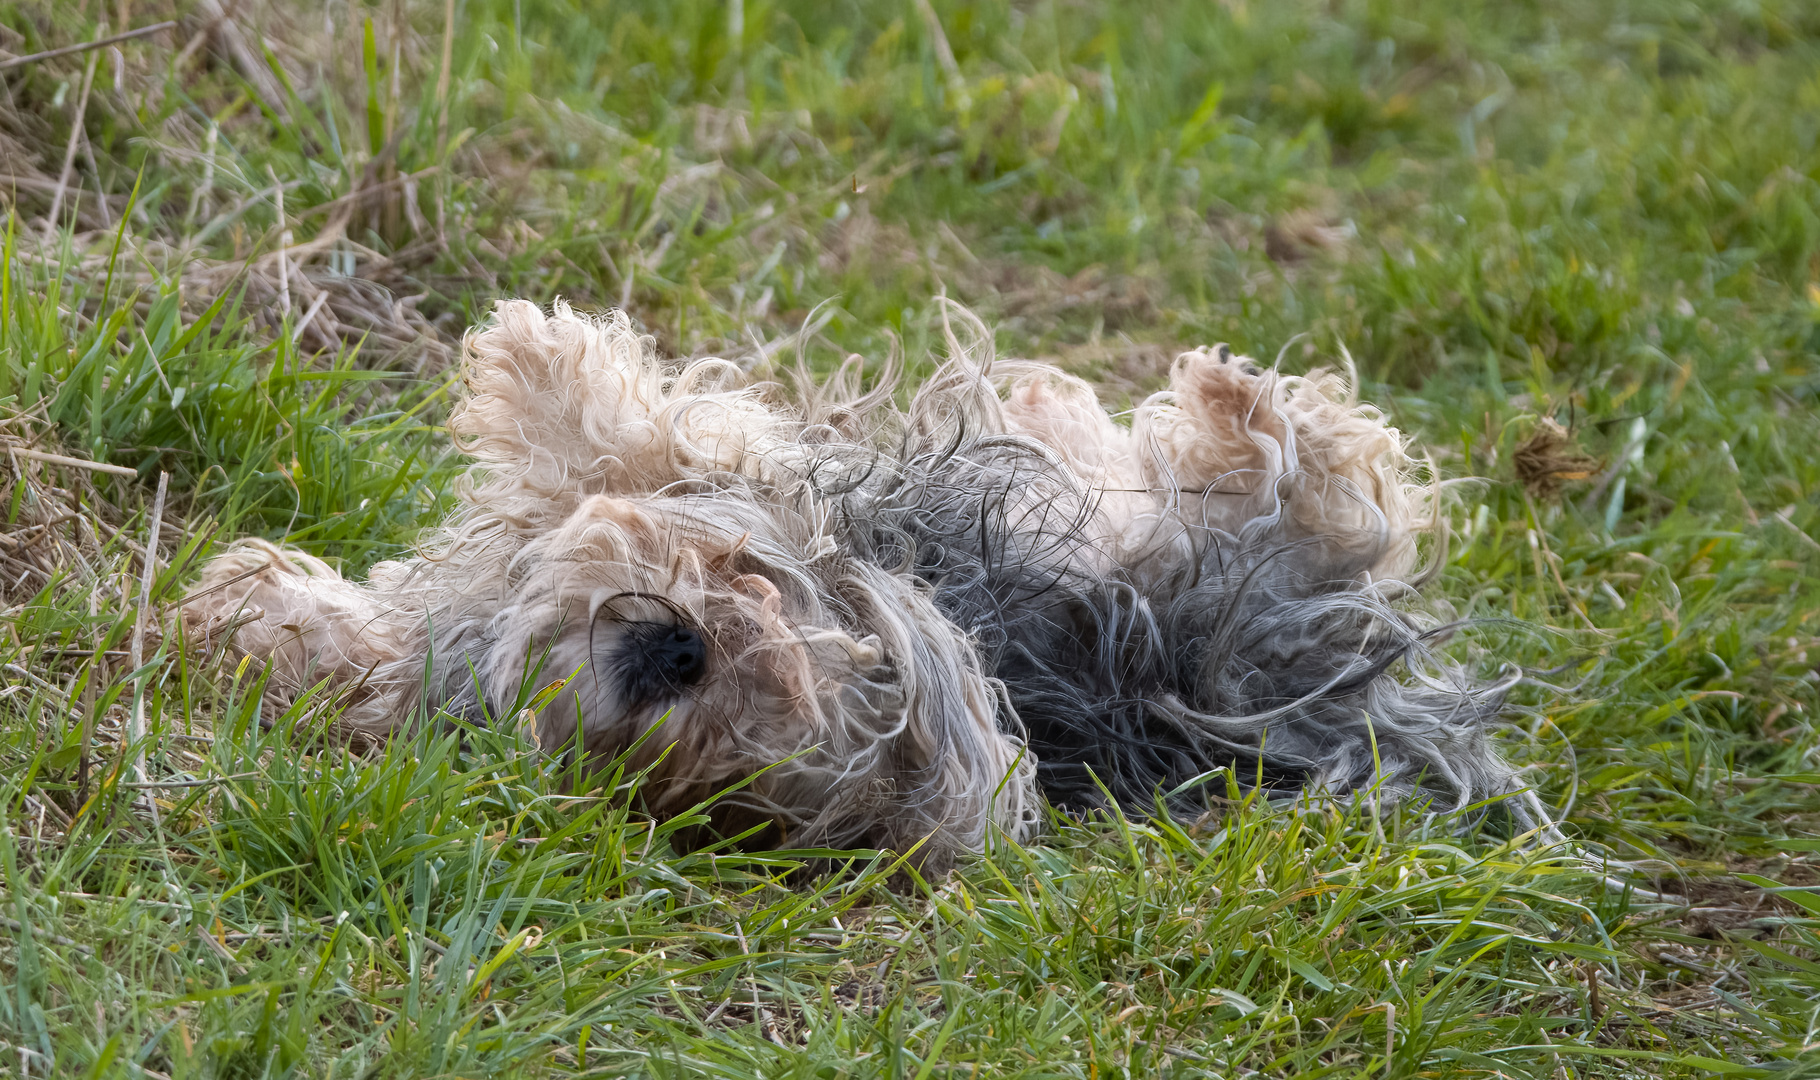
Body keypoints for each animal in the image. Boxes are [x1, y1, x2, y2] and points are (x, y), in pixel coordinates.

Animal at [184, 296, 1543, 866]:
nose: (681, 652)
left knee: (1331, 480)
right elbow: (618, 467)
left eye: (775, 752)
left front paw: (542, 361)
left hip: (1237, 591)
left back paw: (1235, 409)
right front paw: (267, 615)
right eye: (781, 609)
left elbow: (627, 445)